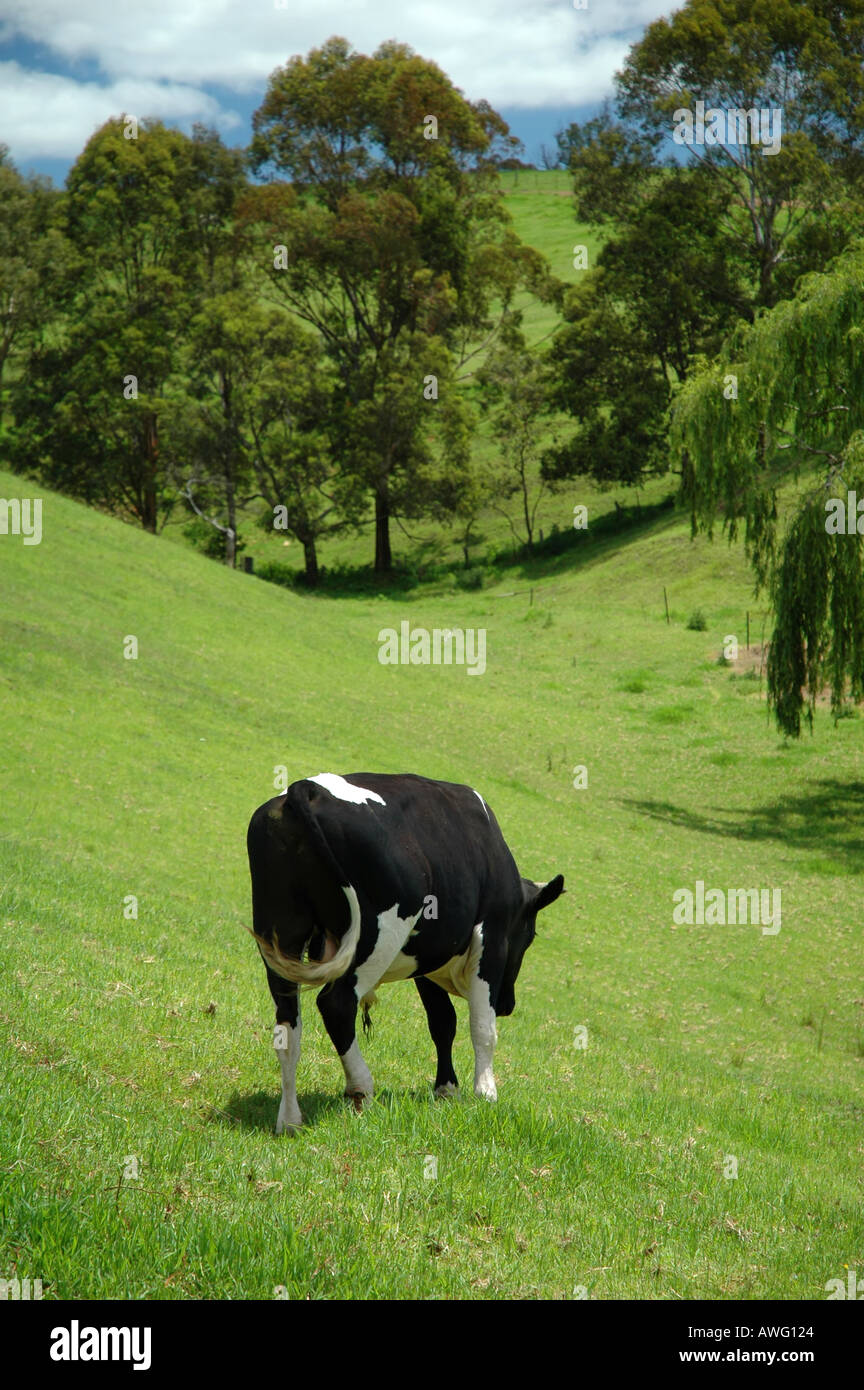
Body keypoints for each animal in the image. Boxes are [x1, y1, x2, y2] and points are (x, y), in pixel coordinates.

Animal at [247, 767, 566, 1134]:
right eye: (530, 935)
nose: (508, 1004)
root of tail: (307, 789)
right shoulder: (492, 939)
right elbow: (482, 1027)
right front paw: (485, 1092)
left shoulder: (427, 959)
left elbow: (442, 1021)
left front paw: (447, 1089)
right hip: (376, 937)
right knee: (337, 1004)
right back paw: (360, 1089)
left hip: (281, 934)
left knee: (288, 1025)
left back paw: (289, 1119)